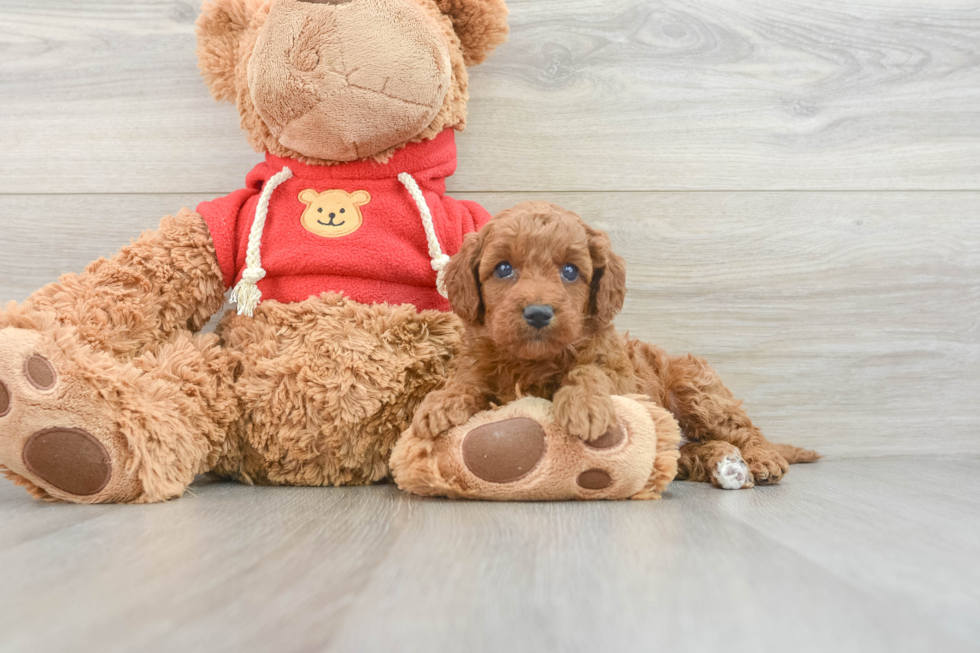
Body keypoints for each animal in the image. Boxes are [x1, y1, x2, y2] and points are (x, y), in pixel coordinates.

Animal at [414, 201, 820, 486]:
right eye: (503, 269)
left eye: (570, 271)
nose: (539, 313)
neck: (533, 362)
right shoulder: (482, 361)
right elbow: (468, 381)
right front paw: (440, 403)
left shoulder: (620, 374)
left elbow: (590, 371)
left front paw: (584, 405)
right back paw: (721, 461)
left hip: (697, 388)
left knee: (744, 429)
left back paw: (761, 459)